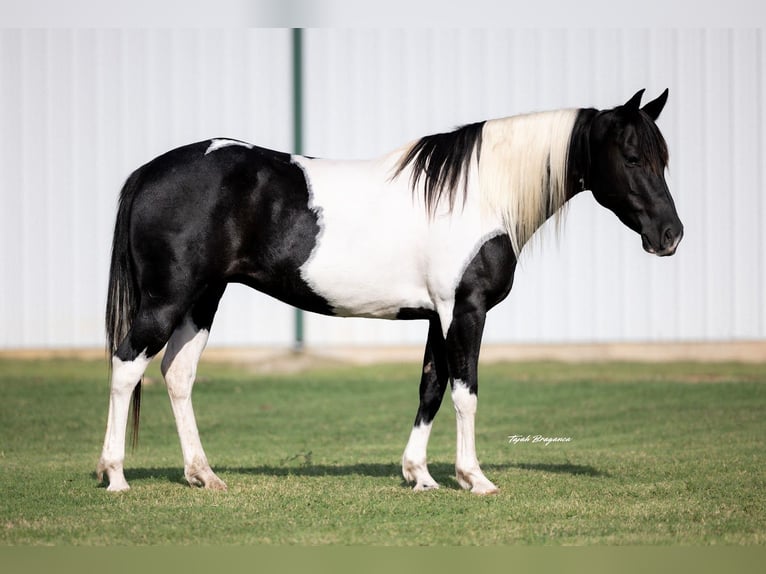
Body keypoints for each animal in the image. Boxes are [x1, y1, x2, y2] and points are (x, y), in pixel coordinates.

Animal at [97, 89, 683, 493]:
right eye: (632, 158)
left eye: (663, 158)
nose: (670, 236)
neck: (480, 194)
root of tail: (149, 172)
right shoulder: (465, 311)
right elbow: (465, 392)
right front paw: (474, 478)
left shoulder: (436, 316)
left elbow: (430, 388)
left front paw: (419, 475)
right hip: (168, 300)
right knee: (126, 365)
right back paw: (116, 475)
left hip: (203, 299)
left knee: (178, 375)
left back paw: (203, 475)